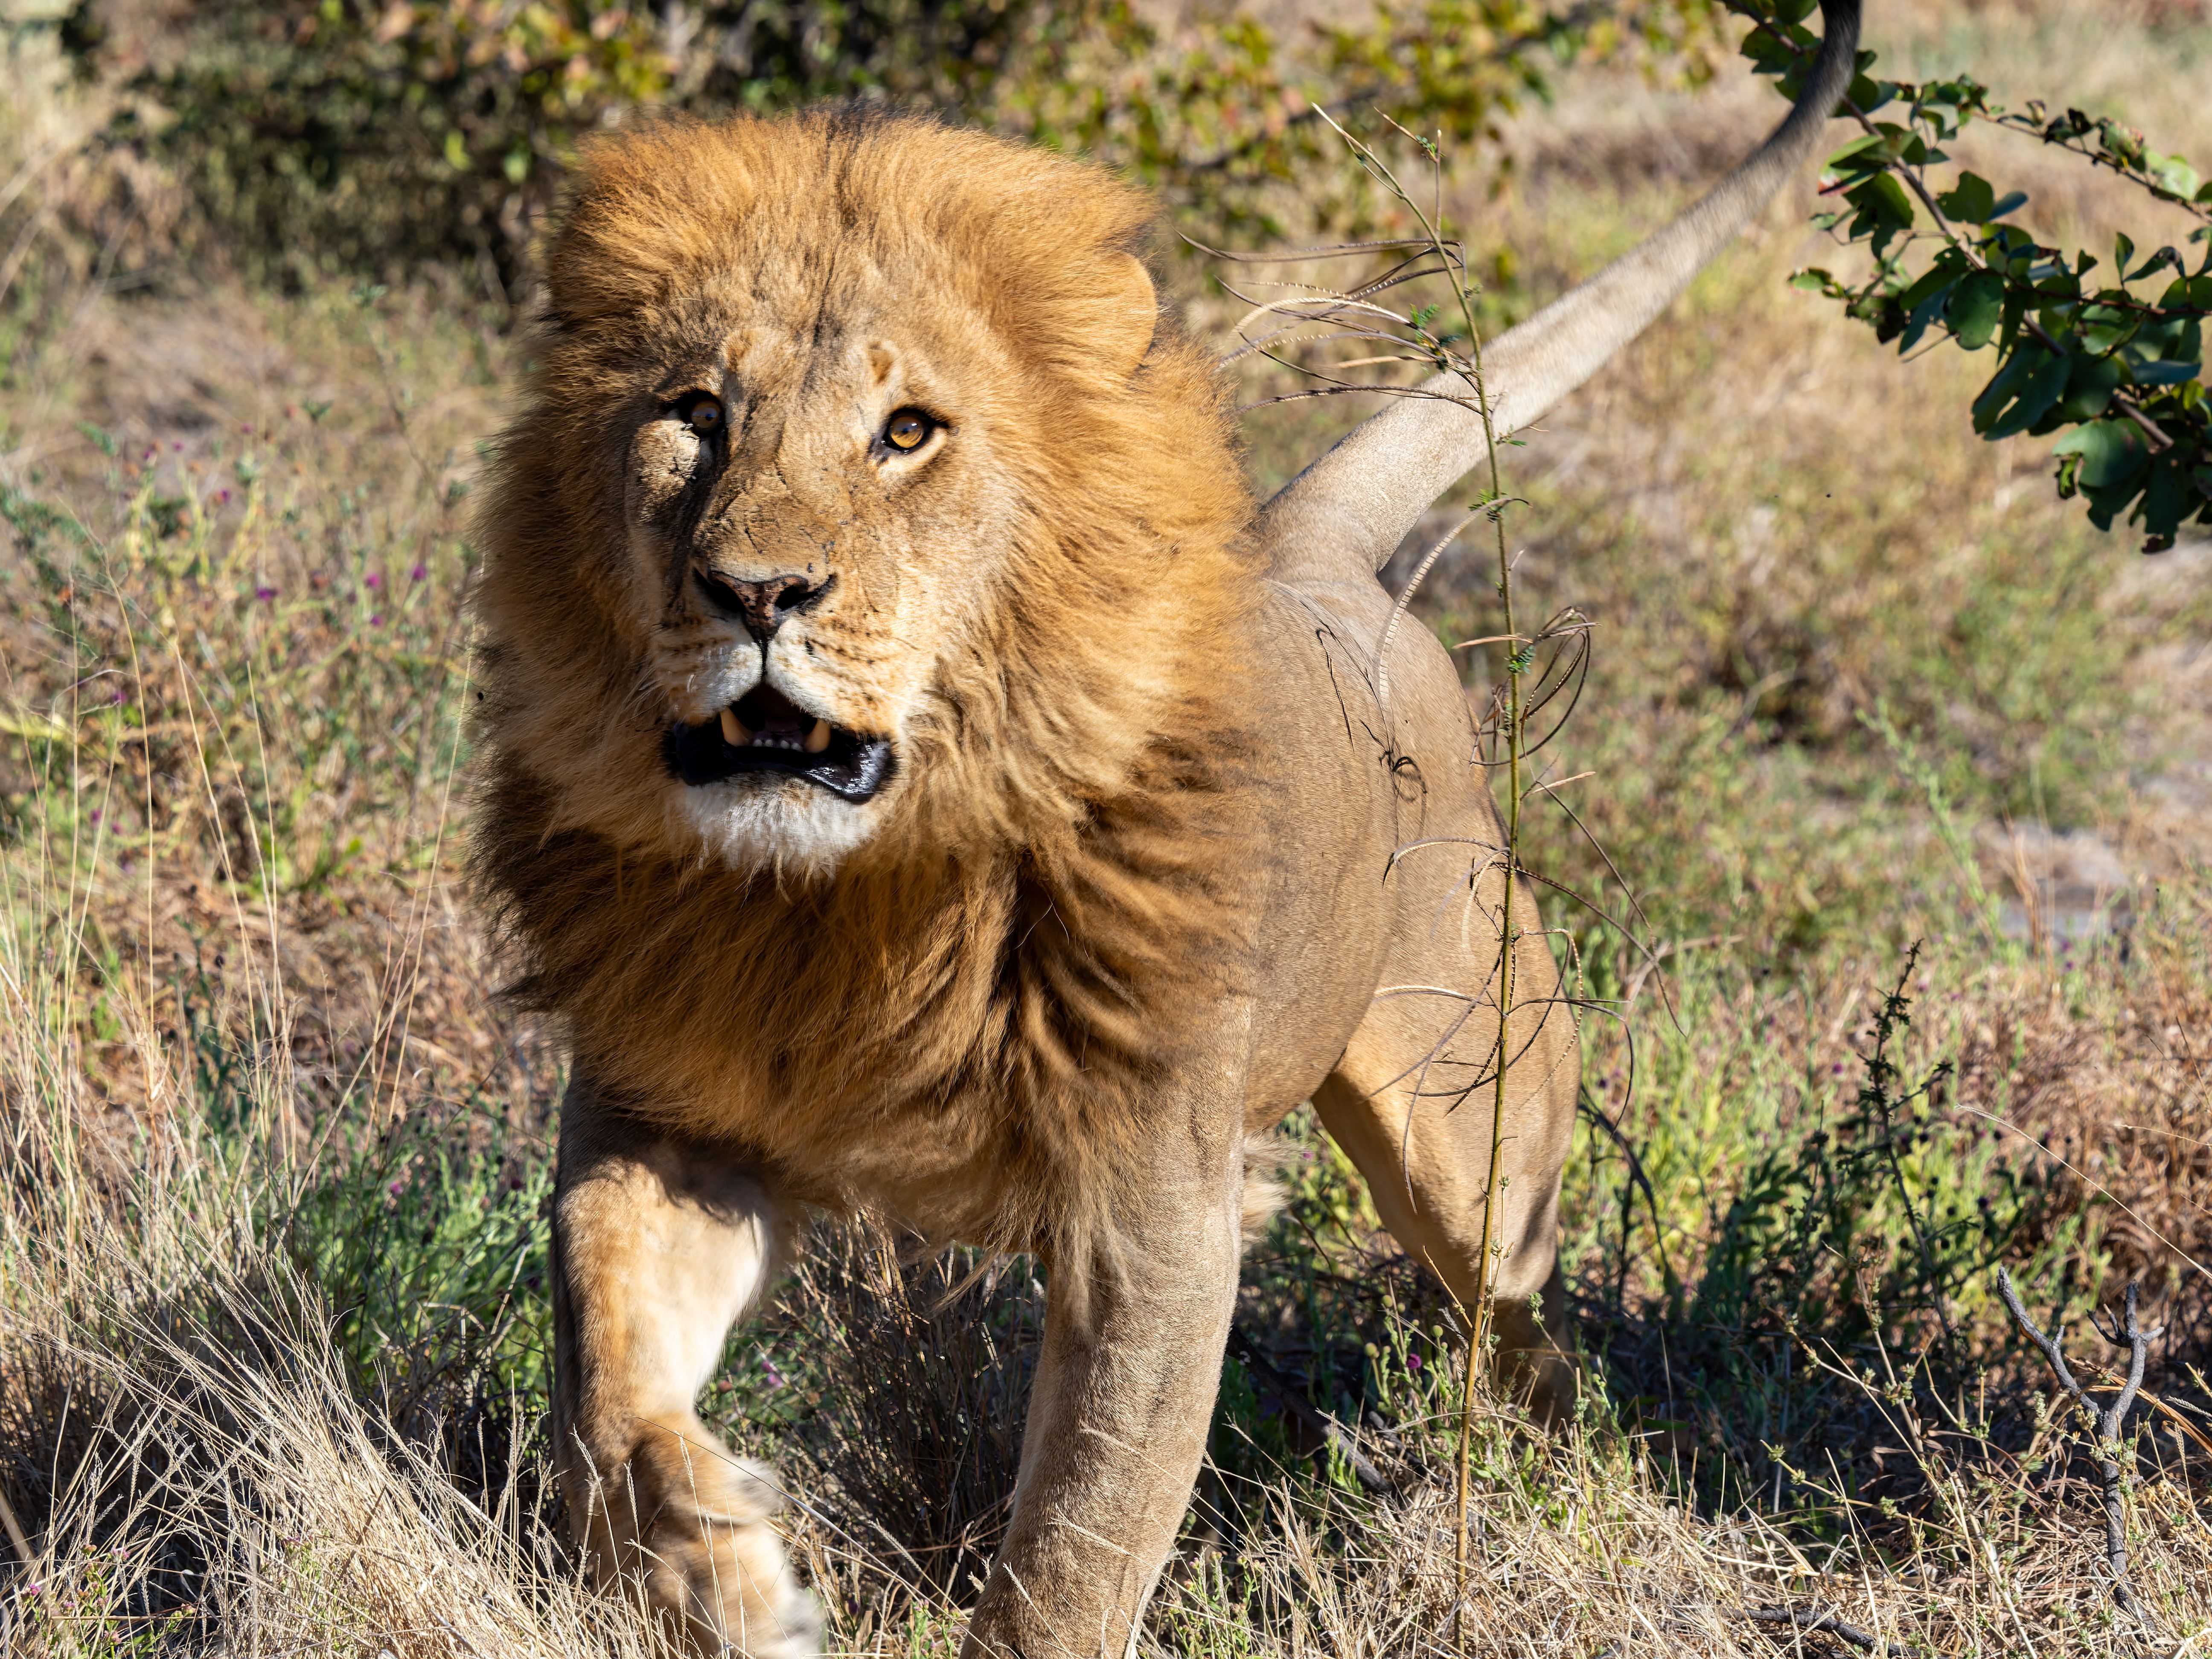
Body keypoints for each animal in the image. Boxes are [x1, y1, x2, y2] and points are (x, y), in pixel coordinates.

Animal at [468, 4, 1858, 1654]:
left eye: (906, 434)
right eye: (693, 416)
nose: (757, 591)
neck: (858, 894)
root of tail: (1315, 554)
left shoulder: (1154, 1216)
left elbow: (1077, 1543)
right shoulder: (671, 1115)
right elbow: (600, 1361)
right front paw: (721, 1572)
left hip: (1477, 1144)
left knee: (1525, 1328)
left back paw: (1544, 1491)